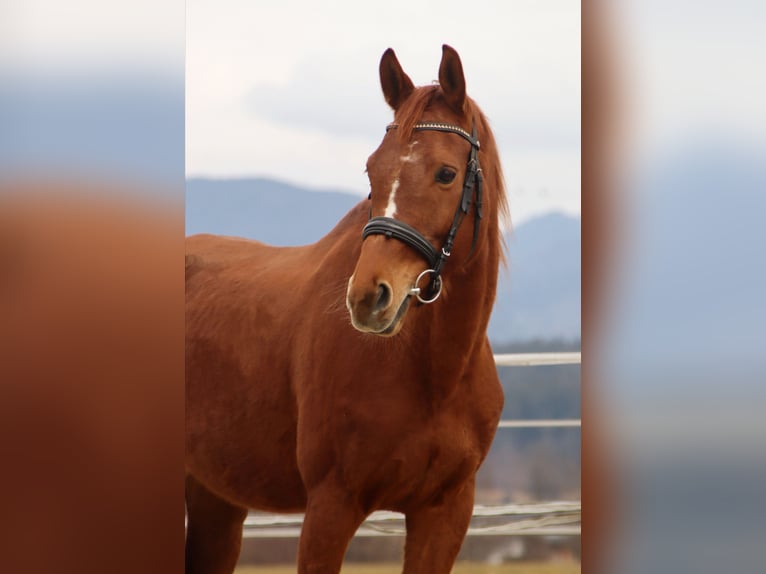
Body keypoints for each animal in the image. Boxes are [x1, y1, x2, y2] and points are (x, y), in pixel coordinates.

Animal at [185, 46, 510, 574]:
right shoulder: (331, 506)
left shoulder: (444, 512)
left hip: (216, 496)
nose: (367, 297)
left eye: (446, 173)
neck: (433, 375)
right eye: (372, 171)